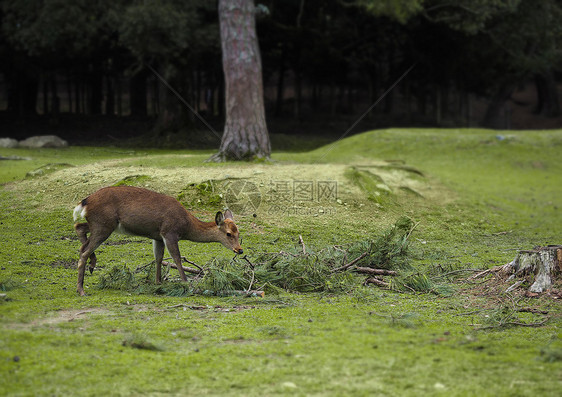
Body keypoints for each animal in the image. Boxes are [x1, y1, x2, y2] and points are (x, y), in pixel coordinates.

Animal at [71, 185, 241, 294]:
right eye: (228, 234)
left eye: (239, 232)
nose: (239, 250)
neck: (186, 226)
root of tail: (84, 202)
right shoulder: (169, 232)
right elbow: (177, 258)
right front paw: (186, 282)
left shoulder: (157, 236)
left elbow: (158, 258)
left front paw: (158, 282)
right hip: (103, 224)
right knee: (84, 251)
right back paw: (81, 289)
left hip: (100, 224)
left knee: (79, 229)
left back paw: (92, 265)